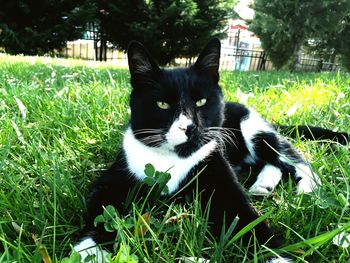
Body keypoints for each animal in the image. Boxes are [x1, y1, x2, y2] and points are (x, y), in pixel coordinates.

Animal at [72, 38, 348, 262]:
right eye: (162, 104)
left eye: (201, 101)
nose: (189, 127)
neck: (174, 157)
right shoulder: (115, 176)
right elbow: (101, 210)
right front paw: (89, 250)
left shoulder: (219, 174)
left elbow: (247, 220)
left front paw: (277, 257)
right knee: (270, 163)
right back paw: (263, 185)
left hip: (252, 128)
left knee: (293, 158)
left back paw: (307, 190)